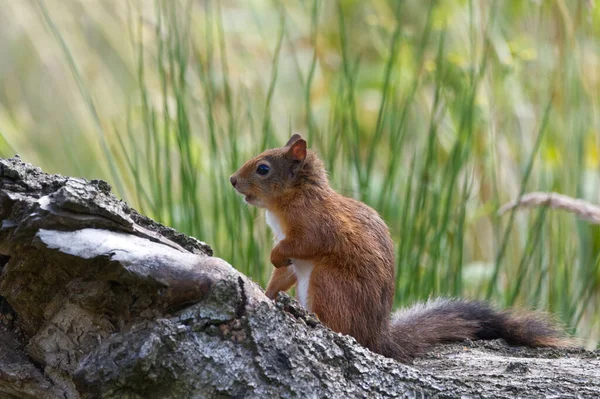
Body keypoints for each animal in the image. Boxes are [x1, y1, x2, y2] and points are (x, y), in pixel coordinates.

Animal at [229, 136, 568, 364]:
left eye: (263, 168)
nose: (232, 180)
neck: (293, 199)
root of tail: (378, 340)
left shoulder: (317, 227)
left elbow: (303, 245)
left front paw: (274, 258)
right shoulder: (294, 255)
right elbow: (283, 272)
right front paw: (267, 293)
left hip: (327, 283)